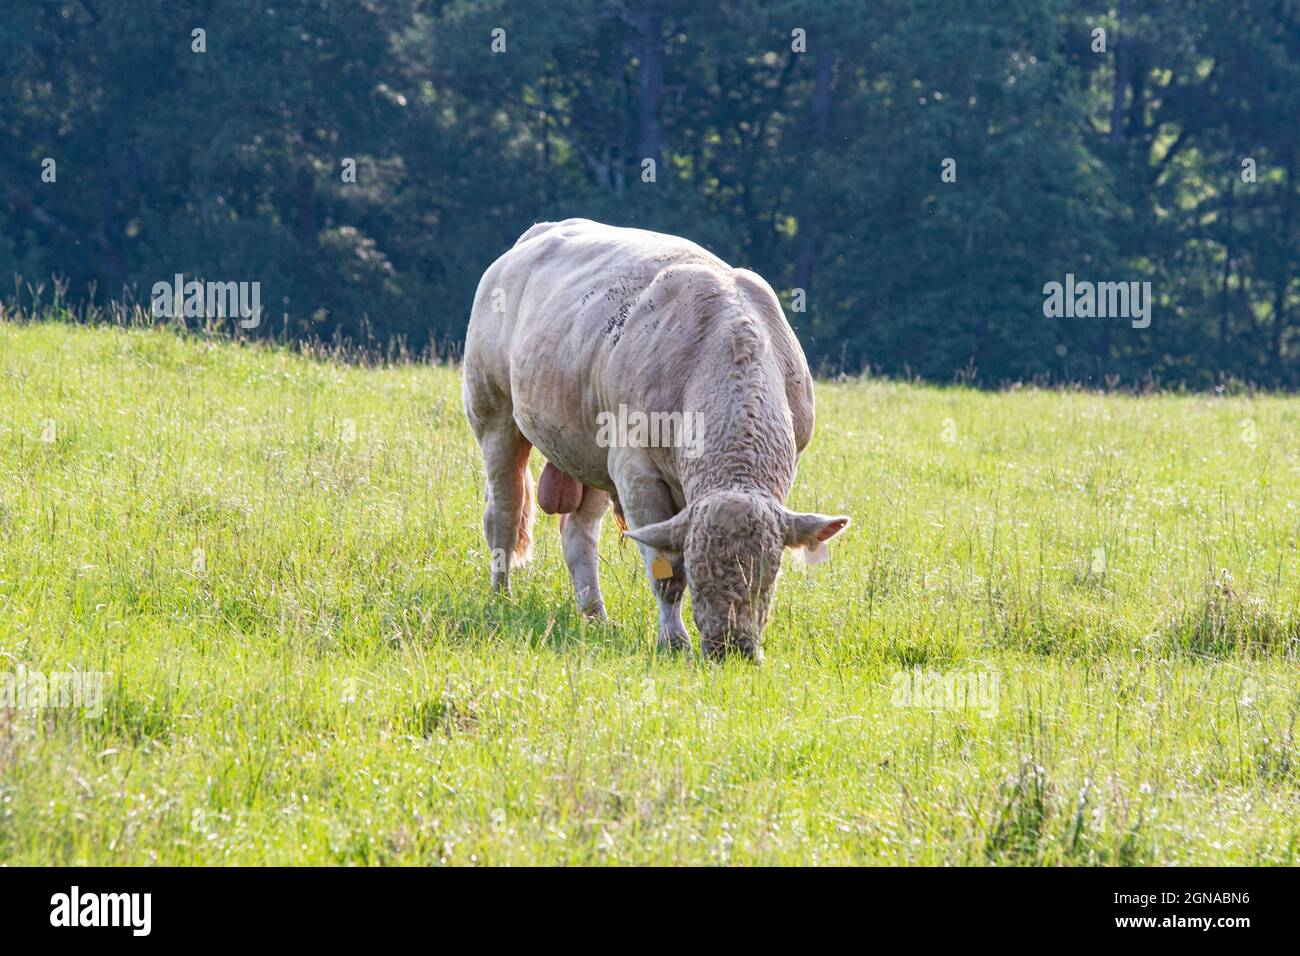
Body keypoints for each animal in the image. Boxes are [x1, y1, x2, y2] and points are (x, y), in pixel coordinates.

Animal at [462, 219, 848, 661]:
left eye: (769, 572)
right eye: (699, 576)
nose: (730, 649)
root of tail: (539, 231)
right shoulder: (637, 473)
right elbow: (667, 574)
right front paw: (674, 641)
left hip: (590, 453)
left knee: (578, 532)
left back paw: (595, 616)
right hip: (494, 417)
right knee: (504, 514)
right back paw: (501, 596)